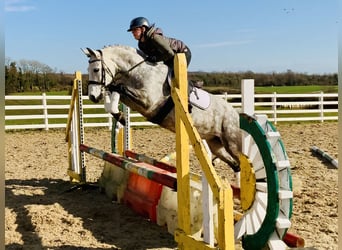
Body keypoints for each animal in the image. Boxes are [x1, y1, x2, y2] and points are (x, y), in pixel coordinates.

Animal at [82, 45, 243, 173]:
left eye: (96, 69)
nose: (92, 96)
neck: (138, 72)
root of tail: (235, 113)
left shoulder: (148, 102)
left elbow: (119, 88)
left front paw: (120, 116)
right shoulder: (134, 101)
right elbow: (114, 95)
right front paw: (120, 117)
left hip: (232, 143)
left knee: (243, 161)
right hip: (215, 143)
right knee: (235, 165)